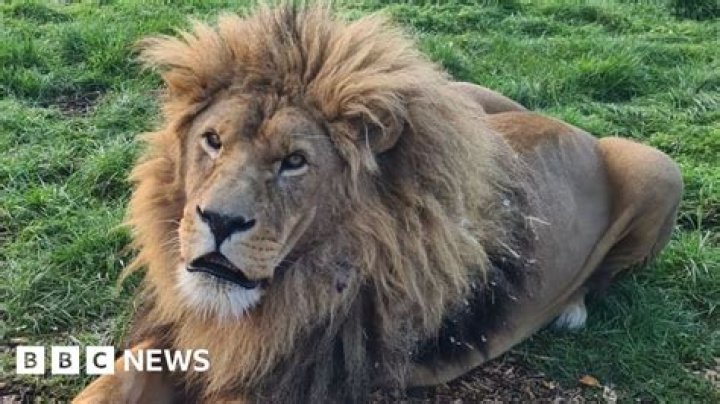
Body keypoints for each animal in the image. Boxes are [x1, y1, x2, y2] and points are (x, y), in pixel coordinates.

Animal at [74, 5, 682, 403]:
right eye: (213, 141)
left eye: (294, 161)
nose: (219, 221)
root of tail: (571, 127)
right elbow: (116, 380)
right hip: (463, 96)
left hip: (657, 166)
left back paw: (573, 308)